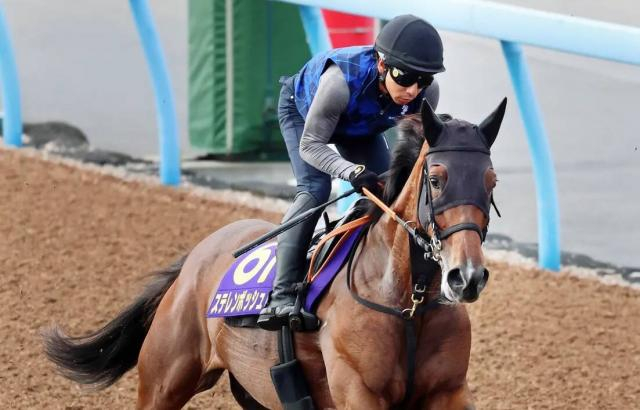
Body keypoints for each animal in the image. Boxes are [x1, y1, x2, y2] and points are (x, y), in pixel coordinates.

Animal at [43, 98, 507, 409]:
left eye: (491, 181)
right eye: (437, 178)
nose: (466, 277)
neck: (407, 302)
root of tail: (196, 258)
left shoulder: (448, 391)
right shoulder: (358, 391)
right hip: (163, 381)